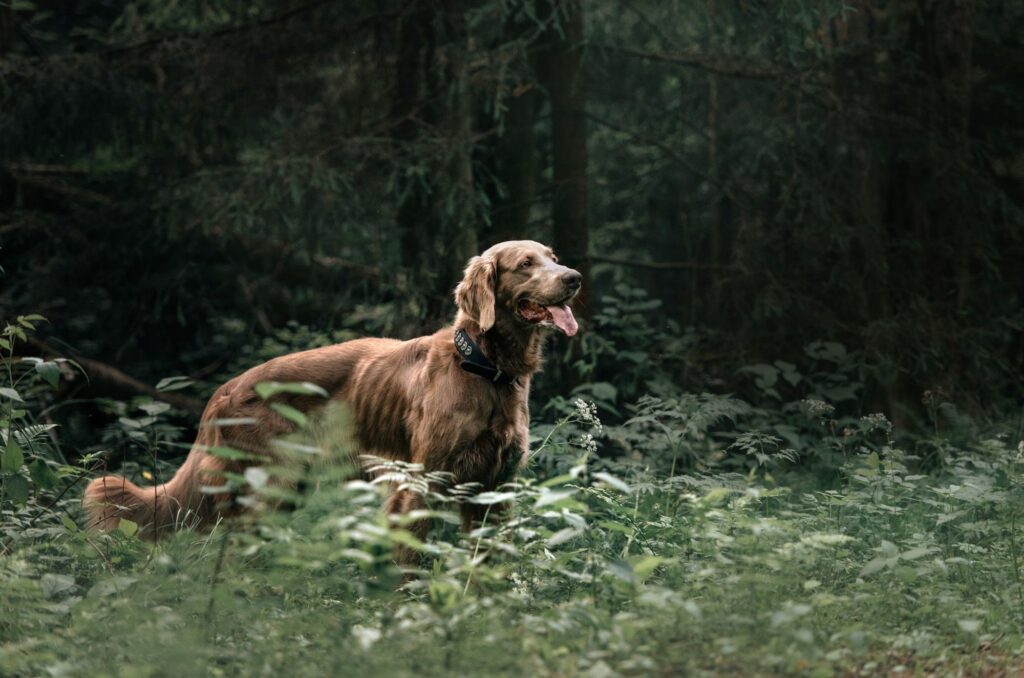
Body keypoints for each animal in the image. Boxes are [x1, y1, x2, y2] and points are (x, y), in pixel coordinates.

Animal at [83, 238, 581, 561]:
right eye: (526, 263)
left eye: (554, 259)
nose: (574, 278)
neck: (484, 368)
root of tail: (224, 391)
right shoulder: (416, 487)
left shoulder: (494, 492)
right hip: (267, 490)